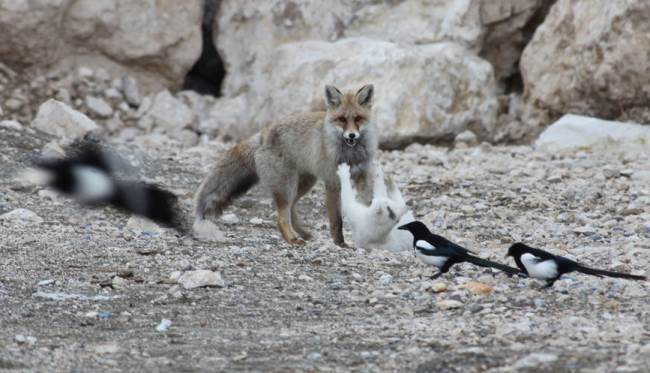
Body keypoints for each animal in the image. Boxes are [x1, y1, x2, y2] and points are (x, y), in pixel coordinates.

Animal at [192, 84, 374, 246]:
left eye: (358, 118)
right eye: (342, 119)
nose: (352, 135)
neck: (351, 155)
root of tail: (263, 133)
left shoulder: (362, 178)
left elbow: (369, 206)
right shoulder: (333, 182)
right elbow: (337, 220)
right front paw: (340, 244)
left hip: (302, 184)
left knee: (291, 210)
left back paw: (304, 234)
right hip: (286, 186)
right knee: (281, 218)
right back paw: (293, 239)